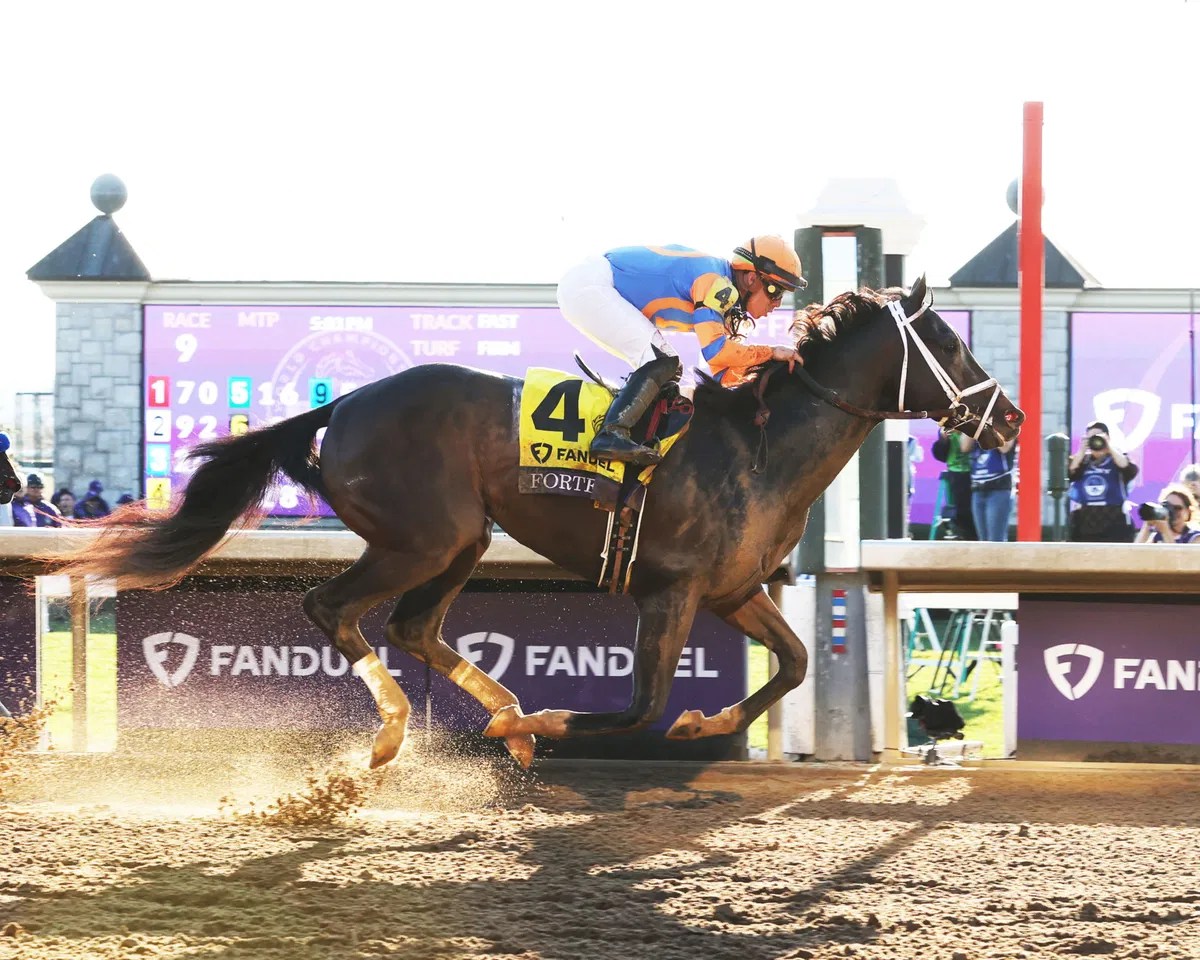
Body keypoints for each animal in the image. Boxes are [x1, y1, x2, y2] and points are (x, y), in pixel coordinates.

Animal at [53, 277, 1023, 768]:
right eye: (950, 341)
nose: (1009, 419)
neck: (760, 446)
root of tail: (346, 403)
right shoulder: (669, 590)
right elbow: (637, 708)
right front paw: (555, 724)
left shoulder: (732, 588)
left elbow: (789, 664)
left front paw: (702, 727)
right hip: (421, 537)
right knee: (335, 610)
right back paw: (407, 730)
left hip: (463, 539)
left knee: (413, 625)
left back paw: (500, 713)